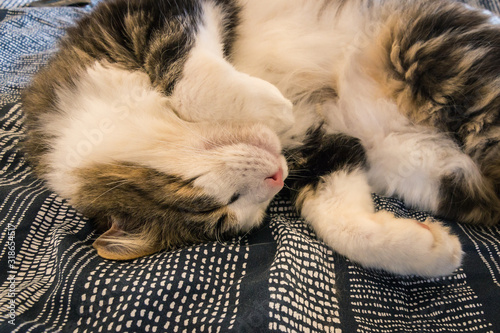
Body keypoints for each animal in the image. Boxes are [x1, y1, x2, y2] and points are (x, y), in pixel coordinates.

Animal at [21, 0, 500, 276]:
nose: (275, 181)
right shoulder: (324, 148)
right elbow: (339, 221)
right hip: (427, 168)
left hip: (430, 51)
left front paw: (272, 105)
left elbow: (188, 78)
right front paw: (429, 251)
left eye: (211, 205)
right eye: (229, 217)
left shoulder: (149, 13)